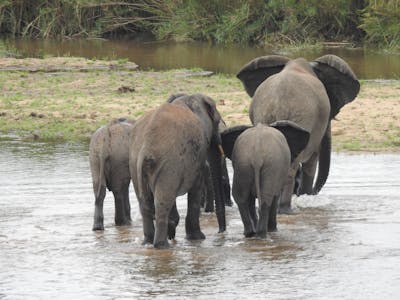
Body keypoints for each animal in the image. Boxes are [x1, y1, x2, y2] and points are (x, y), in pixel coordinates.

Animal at [130, 93, 227, 248]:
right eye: (217, 122)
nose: (220, 232)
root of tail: (145, 149)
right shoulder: (196, 156)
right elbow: (196, 189)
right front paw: (197, 238)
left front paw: (175, 229)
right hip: (168, 163)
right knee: (162, 203)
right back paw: (162, 245)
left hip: (135, 164)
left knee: (145, 203)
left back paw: (148, 242)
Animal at [238, 54, 360, 213]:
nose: (312, 193)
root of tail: (278, 103)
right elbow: (312, 159)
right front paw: (306, 196)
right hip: (303, 117)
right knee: (292, 166)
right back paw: (286, 210)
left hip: (266, 116)